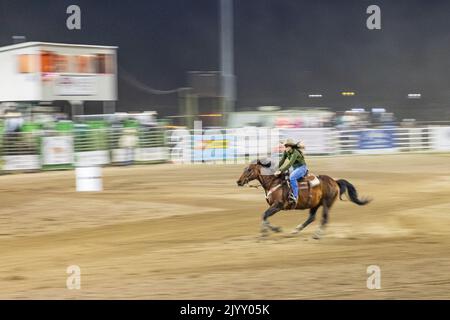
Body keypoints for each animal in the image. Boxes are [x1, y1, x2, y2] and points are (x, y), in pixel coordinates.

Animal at [236, 159, 370, 239]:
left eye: (249, 169)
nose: (238, 181)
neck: (274, 182)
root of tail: (334, 181)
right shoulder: (274, 206)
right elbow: (265, 216)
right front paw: (271, 230)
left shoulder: (278, 205)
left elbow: (264, 215)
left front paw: (270, 231)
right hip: (315, 204)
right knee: (312, 217)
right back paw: (296, 230)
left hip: (327, 203)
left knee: (324, 218)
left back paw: (318, 234)